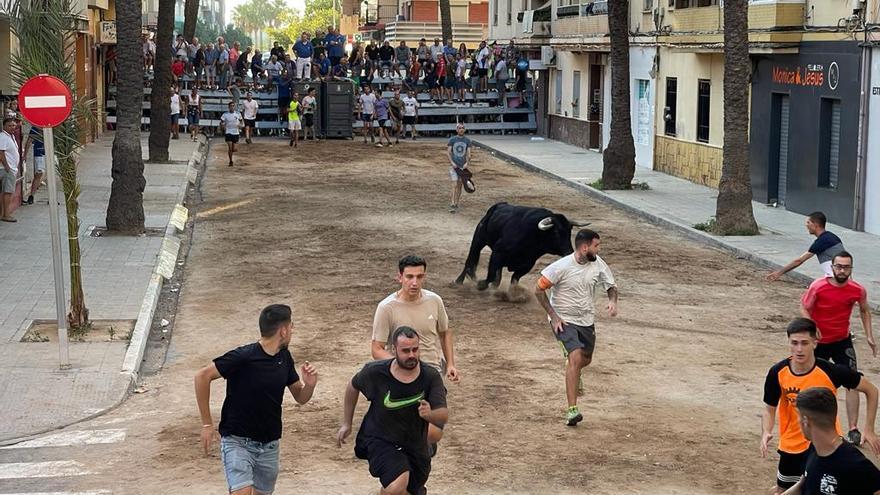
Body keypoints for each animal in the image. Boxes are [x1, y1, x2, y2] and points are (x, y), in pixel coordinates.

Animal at [454, 202, 592, 290]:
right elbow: (492, 275)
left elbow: (514, 279)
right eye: (556, 232)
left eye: (569, 231)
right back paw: (458, 281)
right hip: (478, 240)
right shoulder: (497, 253)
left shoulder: (527, 264)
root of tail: (498, 206)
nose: (569, 252)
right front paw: (481, 284)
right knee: (470, 259)